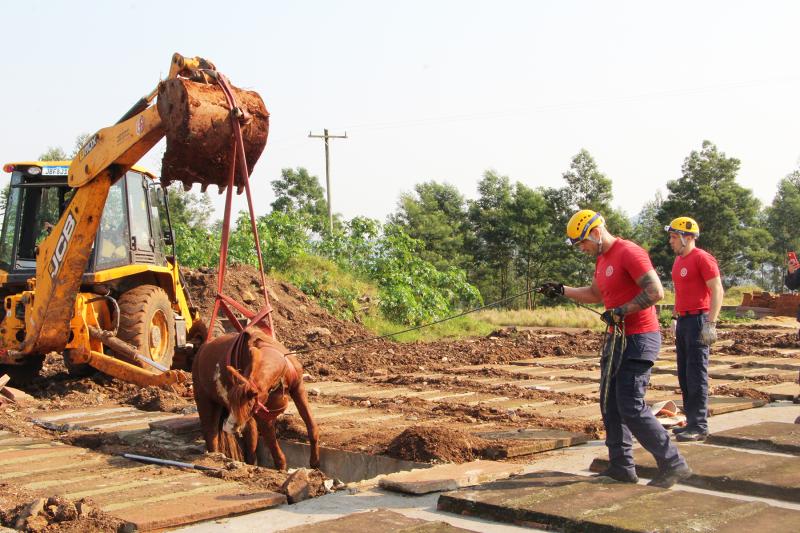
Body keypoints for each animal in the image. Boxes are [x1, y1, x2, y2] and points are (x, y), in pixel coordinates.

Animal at [191, 326, 318, 468]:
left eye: (250, 403)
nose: (229, 426)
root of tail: (200, 352)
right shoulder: (261, 413)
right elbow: (271, 443)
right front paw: (281, 467)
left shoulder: (298, 389)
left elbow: (311, 425)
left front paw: (315, 462)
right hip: (206, 403)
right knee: (211, 434)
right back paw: (216, 457)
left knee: (250, 441)